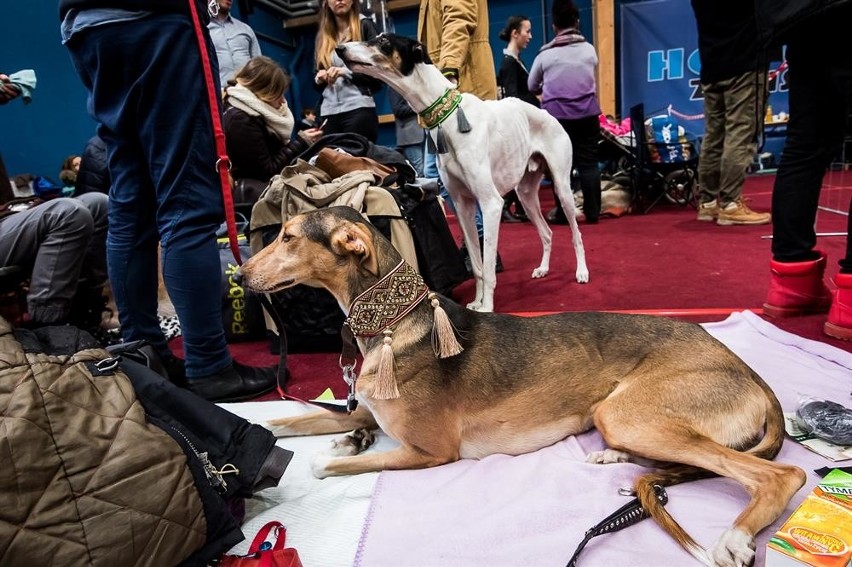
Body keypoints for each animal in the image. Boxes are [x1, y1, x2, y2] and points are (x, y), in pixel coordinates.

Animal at [240, 206, 804, 567]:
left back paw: (734, 538)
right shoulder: (364, 408)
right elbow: (287, 420)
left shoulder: (432, 451)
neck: (393, 323)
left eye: (287, 236)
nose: (240, 276)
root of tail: (749, 371)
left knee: (780, 475)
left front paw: (336, 451)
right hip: (621, 417)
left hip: (632, 414)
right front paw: (280, 431)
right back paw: (612, 457)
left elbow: (322, 463)